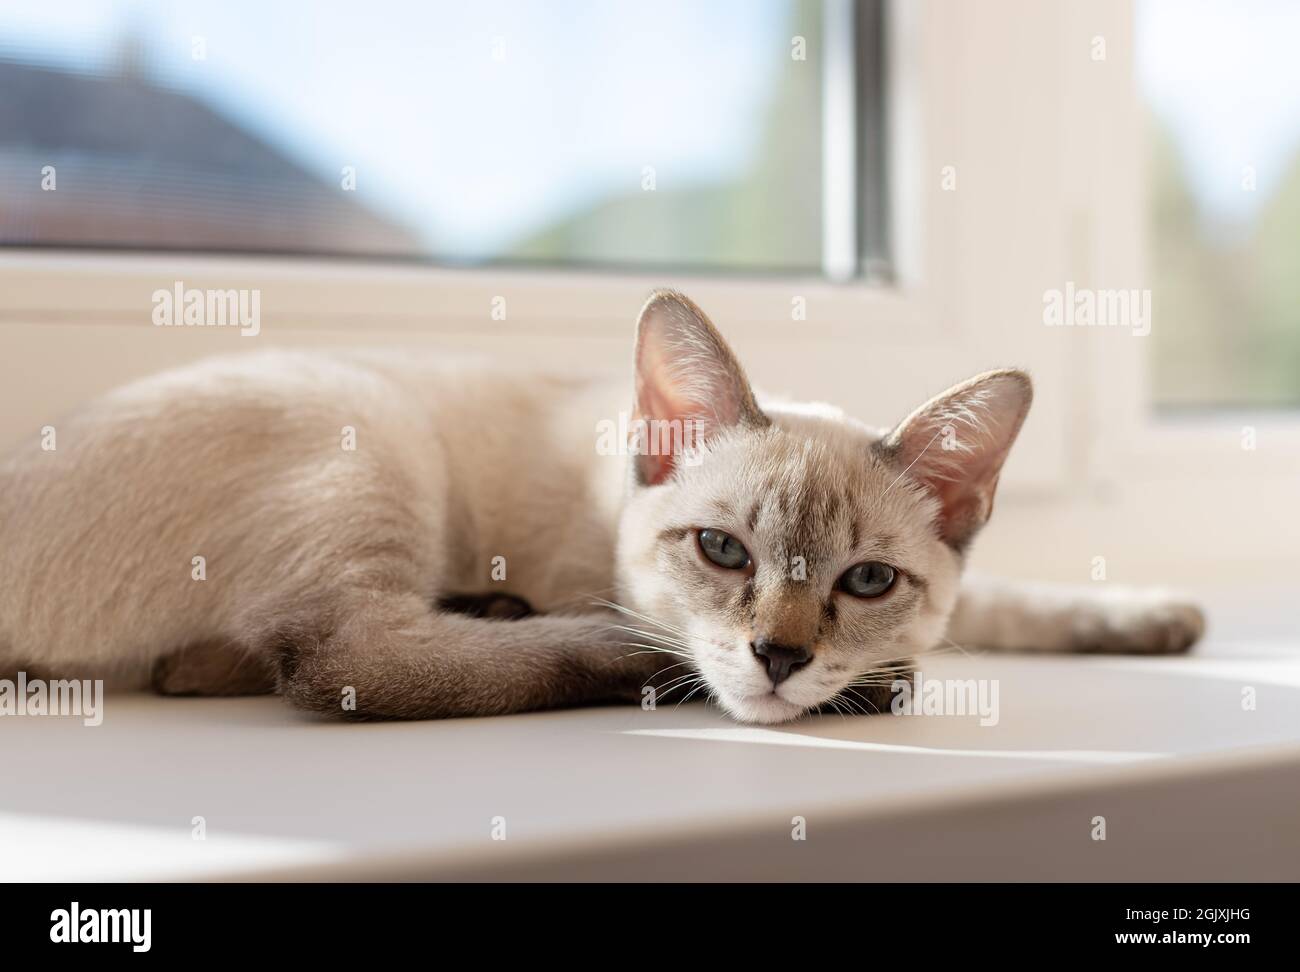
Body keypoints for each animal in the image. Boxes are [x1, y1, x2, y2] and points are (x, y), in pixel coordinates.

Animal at [0, 288, 1201, 722]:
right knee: (340, 657)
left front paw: (1152, 621)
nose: (778, 658)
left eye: (865, 580)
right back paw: (609, 651)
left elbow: (1004, 600)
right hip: (370, 428)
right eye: (722, 551)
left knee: (248, 656)